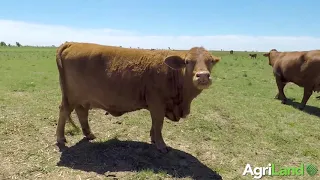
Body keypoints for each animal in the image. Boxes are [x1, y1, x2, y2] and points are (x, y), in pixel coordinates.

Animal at [55, 41, 220, 152]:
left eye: (211, 61)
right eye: (187, 61)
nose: (203, 76)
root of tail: (72, 43)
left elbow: (155, 124)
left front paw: (153, 138)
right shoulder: (157, 104)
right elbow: (158, 123)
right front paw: (161, 145)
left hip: (82, 99)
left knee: (81, 112)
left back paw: (89, 134)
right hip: (71, 97)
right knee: (64, 111)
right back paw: (60, 138)